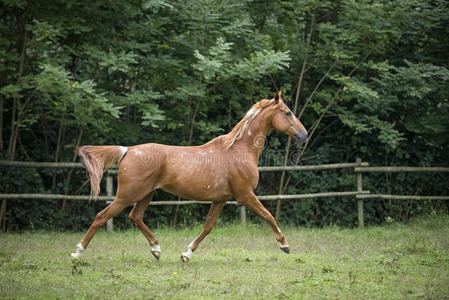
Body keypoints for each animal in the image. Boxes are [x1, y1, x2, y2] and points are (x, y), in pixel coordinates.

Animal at [71, 90, 308, 262]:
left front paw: (186, 254)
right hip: (127, 195)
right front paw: (284, 245)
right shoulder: (245, 195)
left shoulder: (220, 199)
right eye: (287, 112)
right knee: (102, 216)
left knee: (135, 217)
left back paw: (157, 249)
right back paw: (77, 253)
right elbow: (269, 215)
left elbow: (208, 227)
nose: (304, 135)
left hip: (147, 194)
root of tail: (127, 150)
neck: (239, 150)